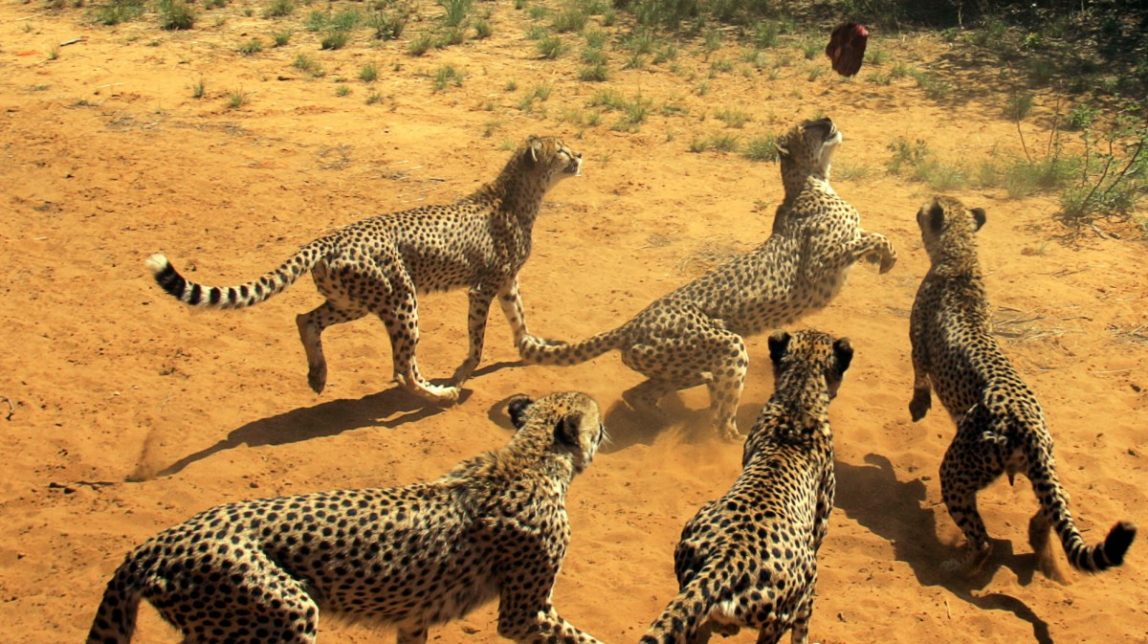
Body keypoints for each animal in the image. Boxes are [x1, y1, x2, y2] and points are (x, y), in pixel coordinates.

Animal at [87, 390, 610, 638]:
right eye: (596, 419)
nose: (604, 432)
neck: (530, 458)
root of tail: (161, 541)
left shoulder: (414, 614)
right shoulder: (525, 613)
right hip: (285, 613)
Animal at [145, 134, 583, 401]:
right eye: (561, 151)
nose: (580, 155)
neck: (518, 195)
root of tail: (330, 238)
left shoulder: (507, 282)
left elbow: (520, 321)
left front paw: (536, 348)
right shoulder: (483, 287)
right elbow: (478, 340)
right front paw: (462, 373)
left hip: (352, 301)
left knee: (305, 319)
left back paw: (318, 374)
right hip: (400, 301)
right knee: (403, 368)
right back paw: (438, 395)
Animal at [521, 116, 895, 436]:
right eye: (807, 126)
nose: (829, 120)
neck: (813, 179)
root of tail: (634, 322)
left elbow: (867, 236)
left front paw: (882, 257)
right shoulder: (817, 266)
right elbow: (872, 238)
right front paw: (887, 257)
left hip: (674, 365)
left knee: (638, 392)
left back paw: (662, 421)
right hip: (727, 348)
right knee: (719, 420)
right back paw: (727, 439)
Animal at [904, 196, 1138, 578]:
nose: (920, 207)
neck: (961, 254)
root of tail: (1030, 425)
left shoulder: (920, 342)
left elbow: (919, 372)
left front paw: (918, 405)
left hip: (957, 470)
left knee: (983, 541)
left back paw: (958, 567)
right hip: (1038, 469)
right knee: (1058, 502)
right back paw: (1037, 539)